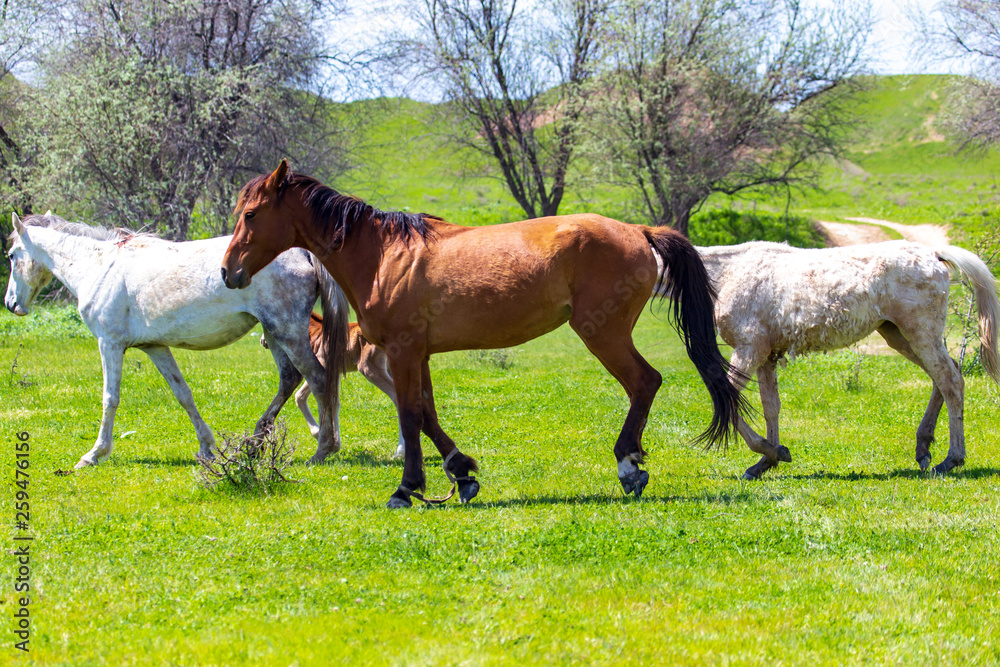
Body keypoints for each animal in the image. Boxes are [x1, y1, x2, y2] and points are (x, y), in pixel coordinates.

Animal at [4, 211, 349, 468]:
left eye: (10, 256)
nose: (10, 303)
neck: (99, 267)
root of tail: (301, 251)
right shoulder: (155, 347)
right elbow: (183, 394)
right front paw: (207, 448)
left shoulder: (109, 344)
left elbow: (109, 398)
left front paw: (94, 454)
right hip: (273, 332)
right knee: (290, 379)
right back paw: (255, 443)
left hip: (287, 330)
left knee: (318, 379)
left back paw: (324, 448)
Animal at [261, 314, 403, 457]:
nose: (262, 341)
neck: (316, 334)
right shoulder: (336, 372)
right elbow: (333, 400)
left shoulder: (323, 365)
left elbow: (300, 396)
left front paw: (320, 435)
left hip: (369, 367)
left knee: (397, 398)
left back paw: (399, 452)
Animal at [692, 241, 1000, 480]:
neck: (731, 273)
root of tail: (933, 253)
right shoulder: (766, 355)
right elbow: (771, 407)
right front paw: (768, 459)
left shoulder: (749, 349)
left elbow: (726, 400)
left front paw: (770, 453)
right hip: (900, 336)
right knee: (943, 377)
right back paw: (924, 449)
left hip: (920, 334)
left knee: (950, 381)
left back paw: (951, 459)